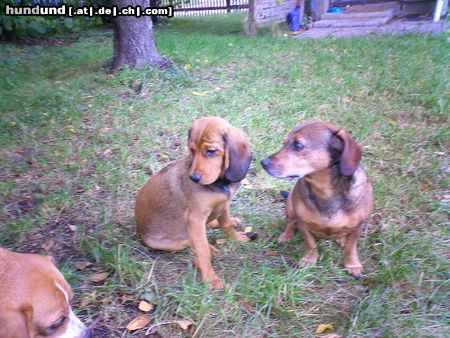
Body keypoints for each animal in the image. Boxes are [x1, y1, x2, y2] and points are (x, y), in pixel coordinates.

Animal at [134, 117, 253, 290]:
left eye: (211, 151)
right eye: (191, 150)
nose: (194, 178)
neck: (220, 182)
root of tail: (139, 232)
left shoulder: (223, 205)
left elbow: (226, 225)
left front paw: (235, 238)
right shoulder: (194, 218)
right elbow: (202, 249)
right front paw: (210, 279)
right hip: (165, 243)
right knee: (190, 242)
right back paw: (210, 246)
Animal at [260, 121, 372, 278]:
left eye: (298, 145)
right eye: (284, 143)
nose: (263, 162)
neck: (325, 192)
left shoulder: (359, 226)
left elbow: (351, 247)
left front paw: (352, 264)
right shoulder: (302, 223)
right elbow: (310, 244)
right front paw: (309, 259)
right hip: (290, 206)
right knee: (290, 223)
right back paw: (286, 236)